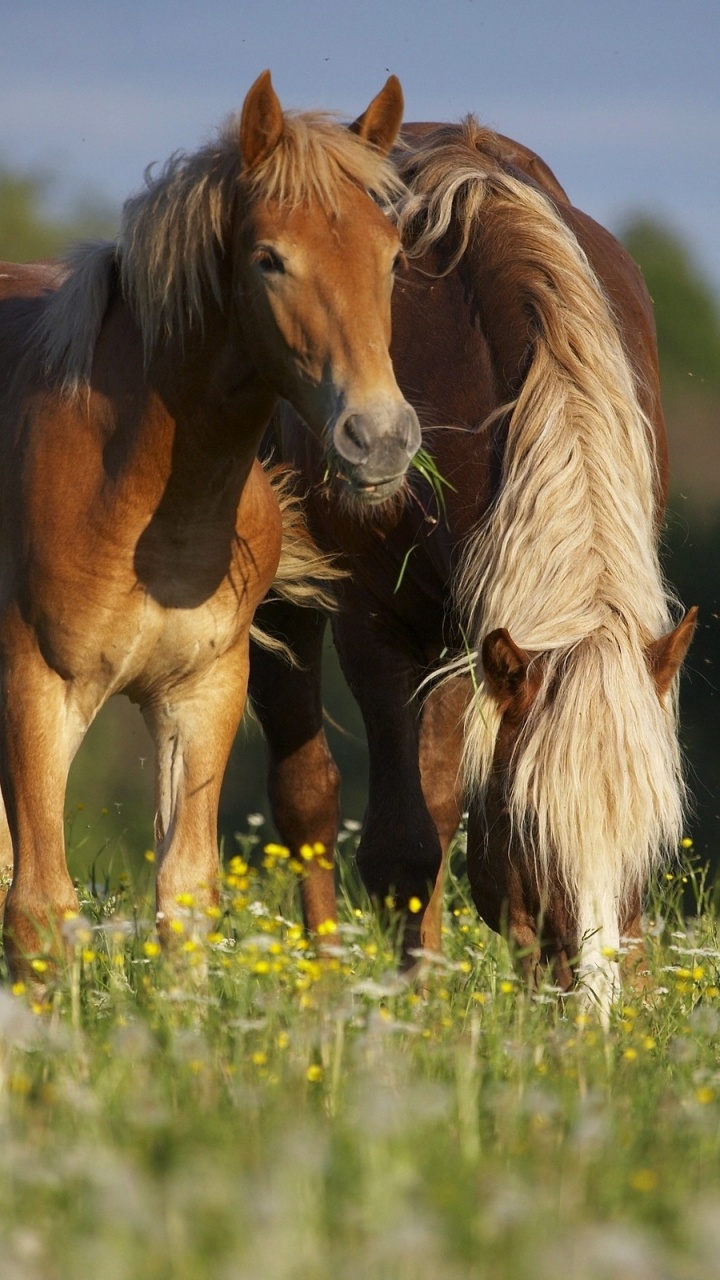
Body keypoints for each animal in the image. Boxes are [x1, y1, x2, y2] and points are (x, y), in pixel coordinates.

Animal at [0, 70, 421, 980]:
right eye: (270, 259)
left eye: (393, 256)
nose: (379, 437)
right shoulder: (36, 686)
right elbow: (40, 909)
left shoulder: (201, 693)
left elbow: (184, 897)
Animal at [248, 117, 696, 1011]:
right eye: (532, 829)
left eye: (653, 840)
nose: (594, 1012)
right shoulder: (378, 626)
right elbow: (402, 848)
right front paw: (413, 1015)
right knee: (308, 799)